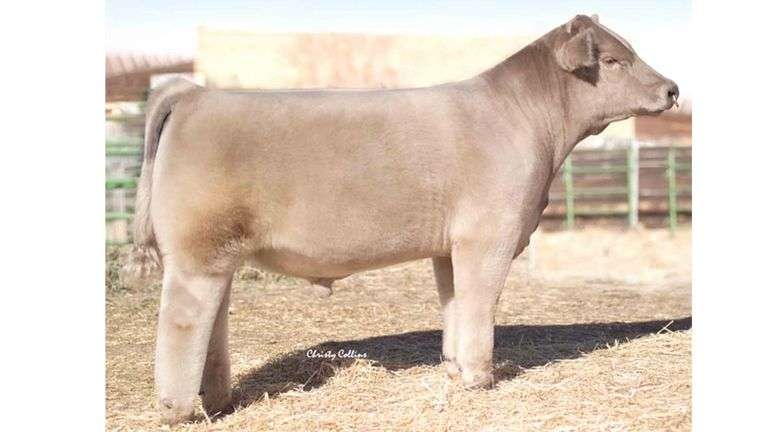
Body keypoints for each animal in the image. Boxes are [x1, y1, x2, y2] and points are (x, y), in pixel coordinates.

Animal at [128, 14, 679, 424]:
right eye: (613, 60)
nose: (672, 89)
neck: (525, 120)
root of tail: (194, 94)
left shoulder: (450, 246)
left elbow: (455, 306)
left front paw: (456, 370)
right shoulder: (489, 235)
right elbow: (479, 307)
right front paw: (480, 379)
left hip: (218, 254)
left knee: (212, 322)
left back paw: (219, 401)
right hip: (197, 251)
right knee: (181, 322)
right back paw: (179, 411)